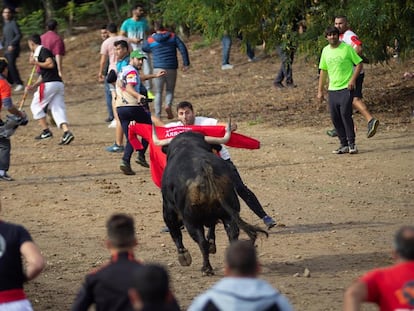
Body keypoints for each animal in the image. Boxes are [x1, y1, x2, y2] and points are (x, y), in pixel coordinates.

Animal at [157, 130, 266, 276]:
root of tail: (205, 169)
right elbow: (212, 228)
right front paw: (212, 245)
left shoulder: (168, 209)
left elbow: (175, 232)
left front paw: (184, 257)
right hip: (229, 212)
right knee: (233, 235)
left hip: (191, 219)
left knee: (200, 241)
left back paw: (206, 268)